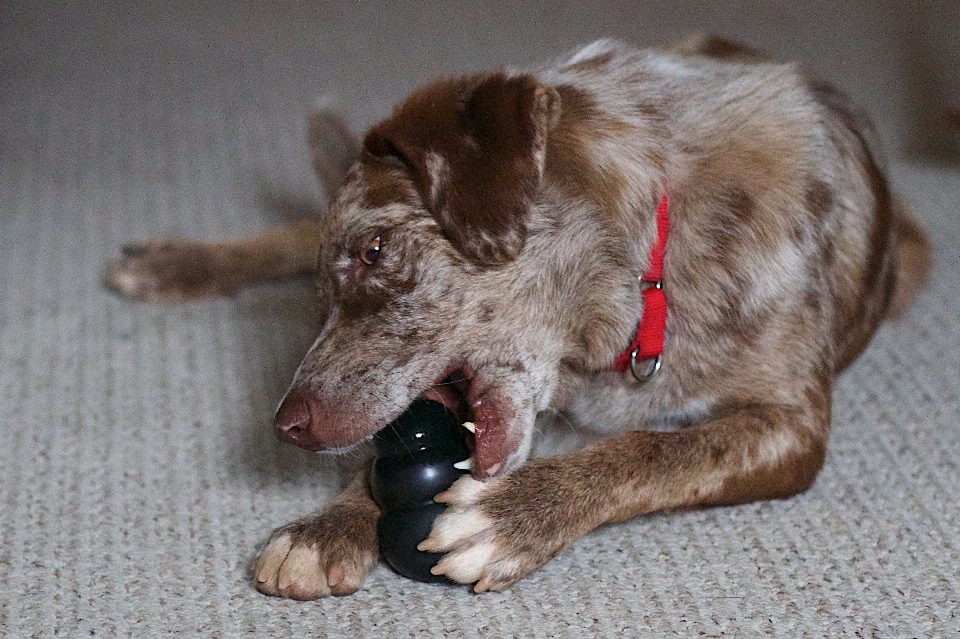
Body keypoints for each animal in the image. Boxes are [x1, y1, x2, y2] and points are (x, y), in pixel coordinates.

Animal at [103, 35, 928, 596]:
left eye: (375, 249)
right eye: (317, 303)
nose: (287, 427)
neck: (646, 274)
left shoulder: (792, 426)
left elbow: (655, 452)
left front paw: (511, 514)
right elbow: (382, 453)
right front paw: (326, 522)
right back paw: (172, 263)